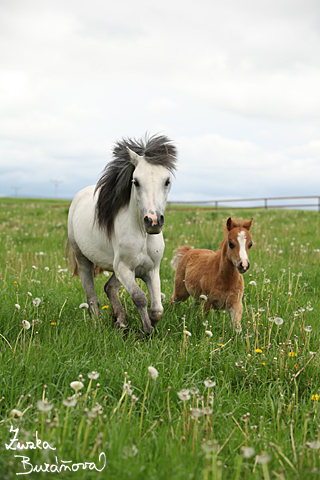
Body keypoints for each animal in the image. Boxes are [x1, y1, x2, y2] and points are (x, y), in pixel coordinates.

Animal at [67, 133, 178, 336]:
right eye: (136, 181)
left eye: (166, 181)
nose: (153, 221)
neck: (142, 235)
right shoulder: (124, 268)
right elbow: (139, 297)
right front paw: (146, 331)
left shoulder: (151, 269)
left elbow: (157, 309)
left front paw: (147, 327)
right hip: (84, 259)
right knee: (91, 296)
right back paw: (99, 326)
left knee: (109, 287)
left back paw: (120, 321)